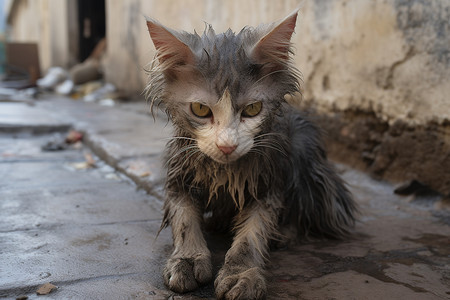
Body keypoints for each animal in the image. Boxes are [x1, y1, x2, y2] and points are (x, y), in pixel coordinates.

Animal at [144, 10, 356, 300]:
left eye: (253, 109)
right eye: (200, 109)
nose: (227, 146)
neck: (225, 170)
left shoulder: (268, 179)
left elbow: (252, 233)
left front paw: (241, 274)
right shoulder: (180, 167)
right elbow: (184, 218)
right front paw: (186, 259)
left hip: (303, 150)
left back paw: (284, 233)